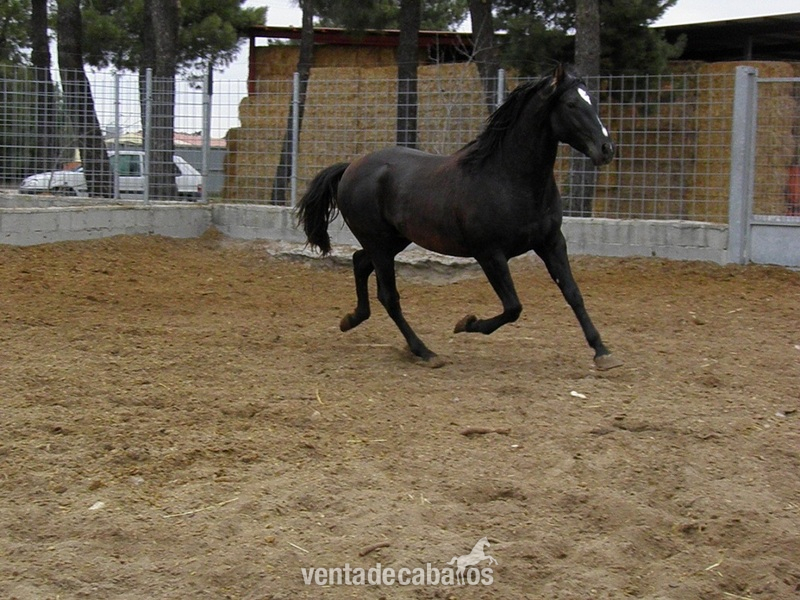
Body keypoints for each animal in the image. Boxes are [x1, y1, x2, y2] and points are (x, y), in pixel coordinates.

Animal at [297, 63, 621, 370]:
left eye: (593, 100)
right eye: (571, 104)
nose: (606, 149)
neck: (510, 180)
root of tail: (350, 167)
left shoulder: (551, 242)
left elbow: (573, 293)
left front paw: (603, 353)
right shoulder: (490, 254)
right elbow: (513, 307)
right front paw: (466, 323)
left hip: (393, 241)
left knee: (359, 263)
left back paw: (351, 319)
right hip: (379, 242)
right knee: (388, 295)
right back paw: (426, 352)